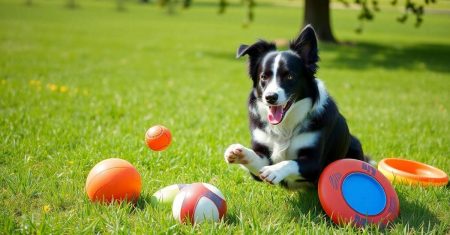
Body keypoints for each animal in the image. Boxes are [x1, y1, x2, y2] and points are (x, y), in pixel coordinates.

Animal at [225, 25, 370, 190]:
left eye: (289, 76)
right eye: (263, 77)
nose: (270, 97)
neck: (285, 127)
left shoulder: (315, 162)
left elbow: (291, 162)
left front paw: (274, 171)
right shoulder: (262, 157)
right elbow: (256, 161)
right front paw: (239, 153)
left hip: (355, 144)